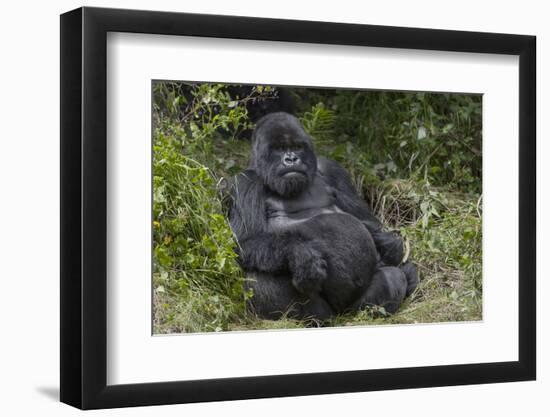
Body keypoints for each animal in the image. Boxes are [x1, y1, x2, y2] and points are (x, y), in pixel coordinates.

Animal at [229, 112, 418, 320]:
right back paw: (315, 318)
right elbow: (245, 242)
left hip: (352, 307)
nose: (291, 159)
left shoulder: (332, 169)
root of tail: (341, 313)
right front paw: (302, 256)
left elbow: (367, 220)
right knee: (257, 277)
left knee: (393, 277)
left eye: (297, 147)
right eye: (279, 149)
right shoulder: (244, 183)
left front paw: (390, 244)